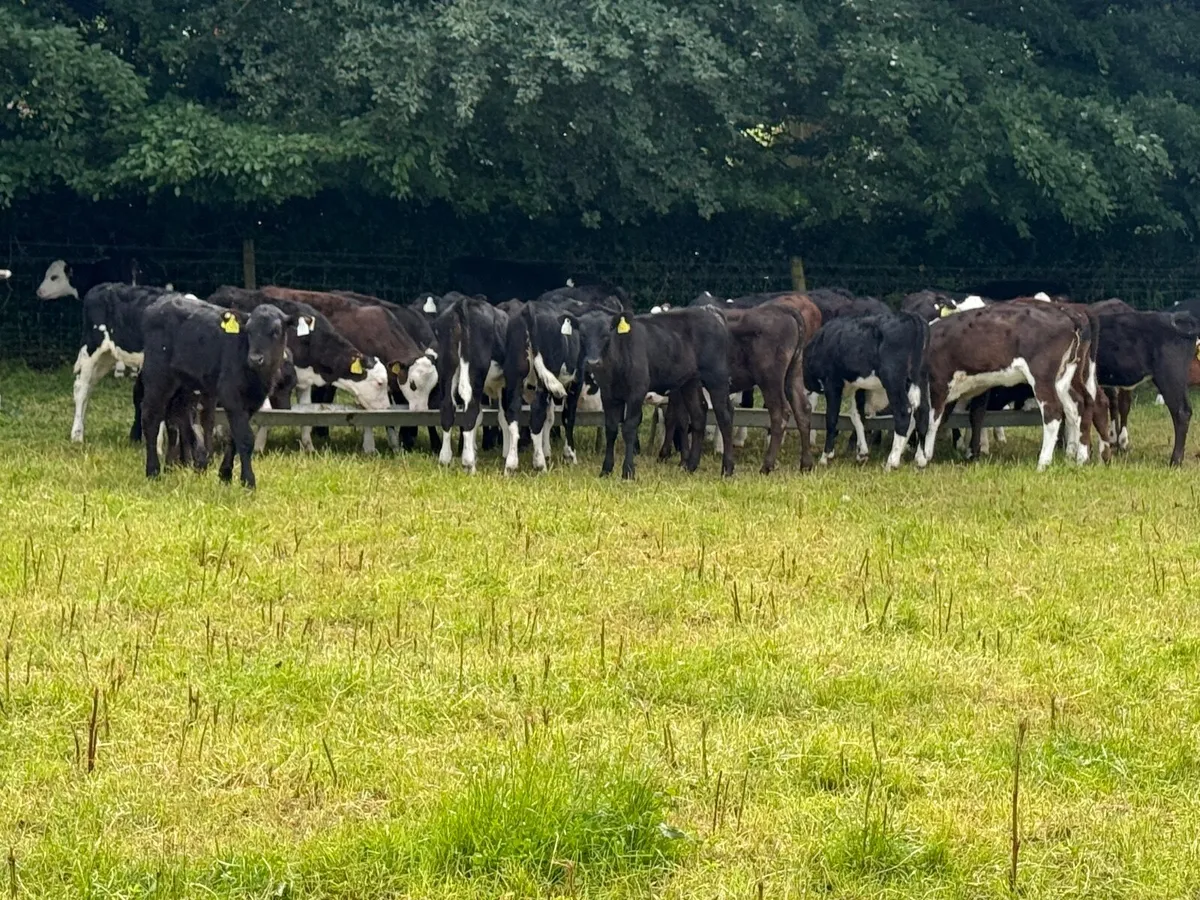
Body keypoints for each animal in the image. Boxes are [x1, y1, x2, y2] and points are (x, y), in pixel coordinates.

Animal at [140, 295, 292, 488]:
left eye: (276, 331)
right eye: (249, 331)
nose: (255, 358)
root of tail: (157, 304)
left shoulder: (251, 403)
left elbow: (234, 436)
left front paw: (225, 474)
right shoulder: (230, 395)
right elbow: (245, 438)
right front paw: (248, 481)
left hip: (185, 384)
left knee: (180, 416)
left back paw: (195, 461)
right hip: (158, 376)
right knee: (151, 418)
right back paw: (153, 471)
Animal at [578, 306, 735, 479]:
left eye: (606, 334)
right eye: (582, 334)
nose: (593, 362)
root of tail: (710, 311)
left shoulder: (637, 391)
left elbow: (629, 428)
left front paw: (628, 471)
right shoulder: (608, 394)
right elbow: (611, 429)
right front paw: (606, 470)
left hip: (717, 377)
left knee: (725, 417)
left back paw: (727, 469)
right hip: (690, 381)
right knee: (698, 416)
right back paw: (691, 466)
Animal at [802, 312, 929, 470]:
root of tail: (912, 317)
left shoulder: (832, 384)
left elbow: (831, 418)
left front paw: (826, 456)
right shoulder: (859, 387)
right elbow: (857, 416)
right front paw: (862, 453)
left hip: (893, 379)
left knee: (904, 411)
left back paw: (892, 461)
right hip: (920, 380)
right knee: (922, 412)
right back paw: (921, 459)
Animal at [922, 304, 1086, 471]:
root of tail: (1065, 313)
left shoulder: (938, 383)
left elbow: (931, 420)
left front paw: (922, 457)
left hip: (1042, 376)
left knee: (1053, 412)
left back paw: (1043, 464)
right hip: (1063, 378)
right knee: (1074, 409)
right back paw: (1075, 457)